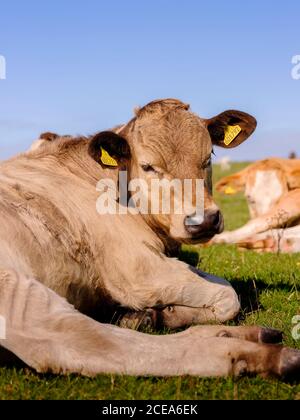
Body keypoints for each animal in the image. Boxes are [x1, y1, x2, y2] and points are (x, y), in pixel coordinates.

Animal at [0, 100, 300, 378]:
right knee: (83, 341)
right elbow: (229, 295)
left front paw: (160, 314)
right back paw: (254, 353)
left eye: (208, 157)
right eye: (147, 166)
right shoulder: (138, 271)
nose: (203, 220)